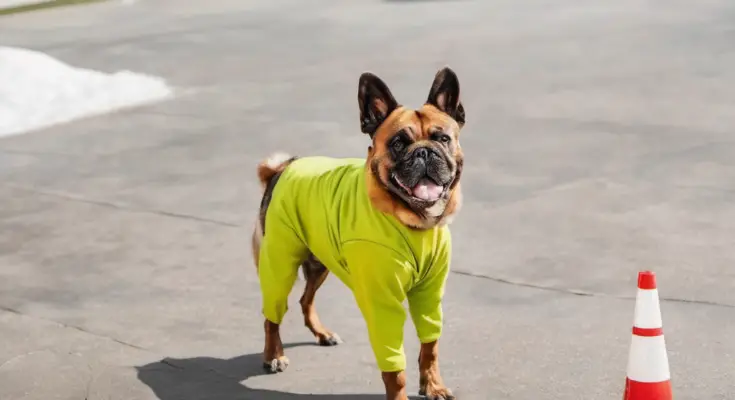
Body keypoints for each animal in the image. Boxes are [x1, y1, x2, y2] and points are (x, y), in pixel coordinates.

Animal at [247, 67, 466, 398]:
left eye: (442, 138)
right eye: (398, 143)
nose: (425, 152)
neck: (413, 221)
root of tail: (281, 168)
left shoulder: (430, 295)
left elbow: (430, 346)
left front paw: (433, 385)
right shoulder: (381, 303)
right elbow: (394, 368)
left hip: (319, 263)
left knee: (305, 300)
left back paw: (322, 333)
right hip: (279, 264)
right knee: (272, 313)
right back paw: (274, 355)